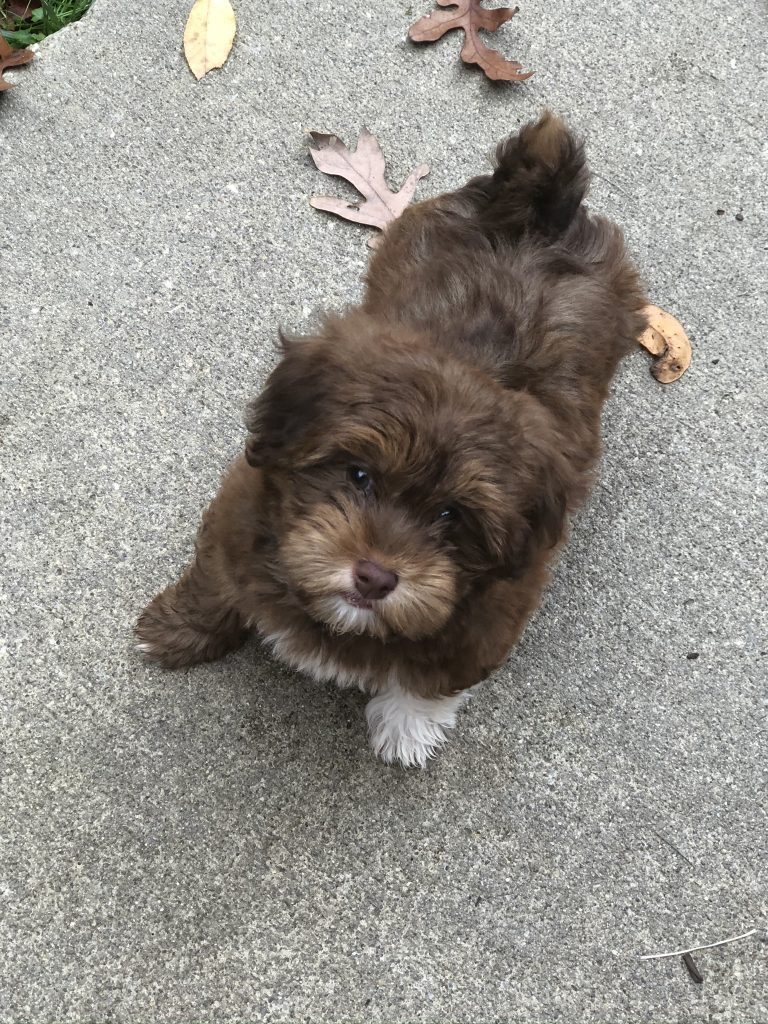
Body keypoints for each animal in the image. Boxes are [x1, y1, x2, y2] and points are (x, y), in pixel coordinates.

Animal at [137, 114, 651, 770]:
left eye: (452, 515)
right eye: (359, 476)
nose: (376, 578)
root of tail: (537, 211)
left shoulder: (491, 618)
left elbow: (430, 679)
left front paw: (406, 729)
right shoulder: (237, 520)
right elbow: (213, 583)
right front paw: (175, 631)